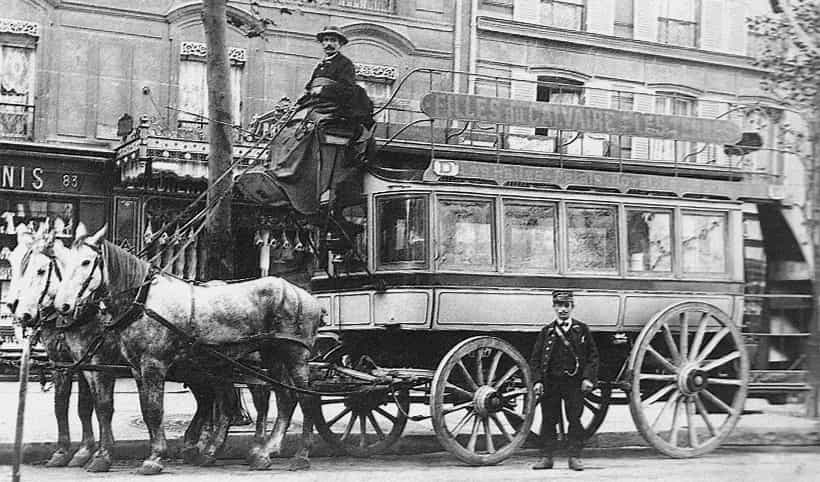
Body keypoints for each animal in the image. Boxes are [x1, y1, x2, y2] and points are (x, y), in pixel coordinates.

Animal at [53, 225, 324, 474]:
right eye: (62, 263)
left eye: (86, 261)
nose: (63, 305)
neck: (143, 300)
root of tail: (305, 295)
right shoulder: (136, 367)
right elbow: (136, 408)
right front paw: (103, 457)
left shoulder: (152, 364)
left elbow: (153, 410)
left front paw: (155, 457)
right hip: (271, 356)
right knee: (285, 399)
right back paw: (264, 452)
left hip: (294, 355)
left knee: (306, 399)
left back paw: (301, 454)